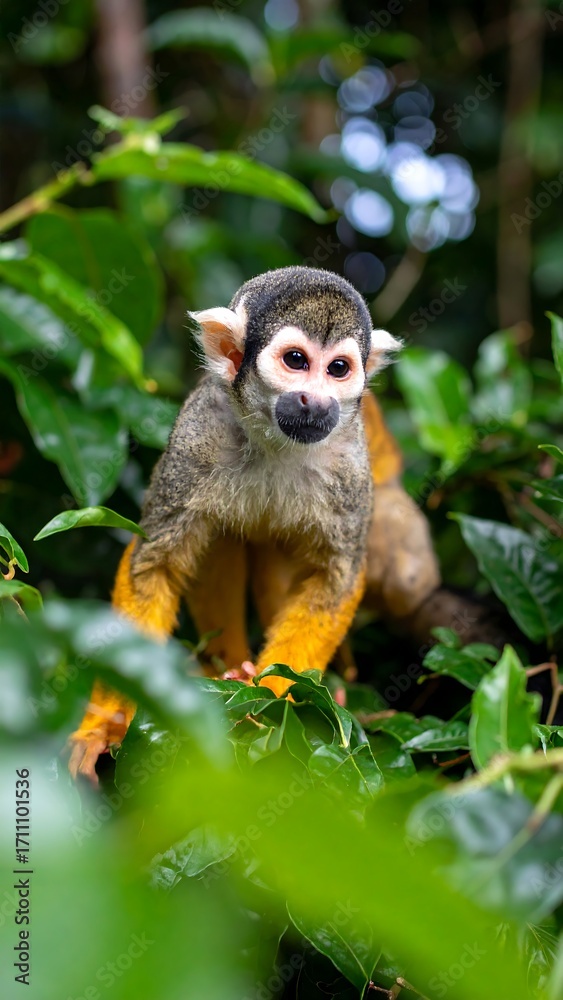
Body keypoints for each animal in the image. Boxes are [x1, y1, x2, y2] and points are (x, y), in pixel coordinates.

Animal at [67, 264, 472, 784]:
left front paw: (269, 696)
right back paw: (226, 667)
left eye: (337, 369)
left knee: (404, 578)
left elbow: (336, 580)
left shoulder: (350, 469)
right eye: (296, 360)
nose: (315, 401)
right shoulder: (200, 433)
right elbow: (153, 564)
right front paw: (107, 725)